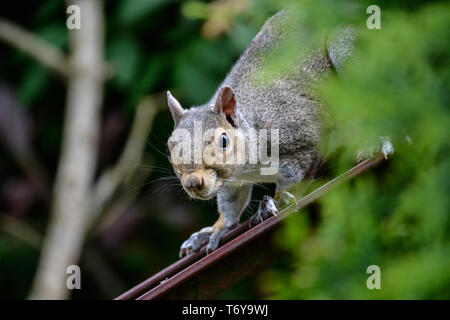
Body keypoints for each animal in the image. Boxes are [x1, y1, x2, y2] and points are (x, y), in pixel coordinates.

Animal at [165, 11, 358, 258]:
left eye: (224, 140)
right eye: (170, 148)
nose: (192, 183)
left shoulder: (300, 145)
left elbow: (293, 183)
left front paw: (273, 203)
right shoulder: (230, 181)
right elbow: (230, 205)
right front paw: (214, 230)